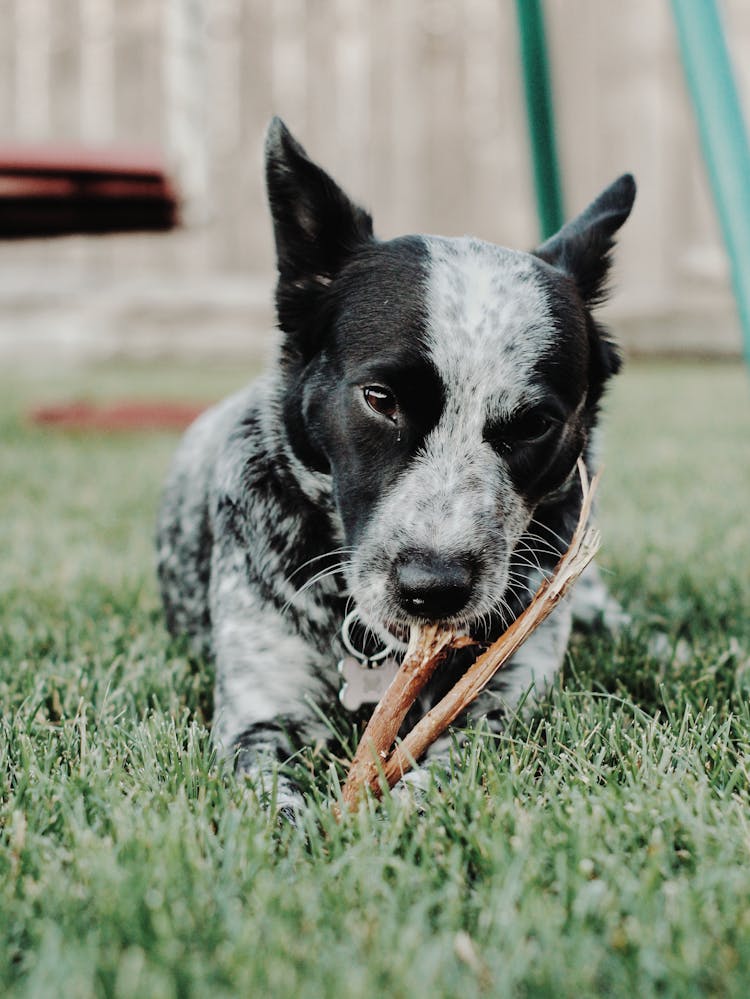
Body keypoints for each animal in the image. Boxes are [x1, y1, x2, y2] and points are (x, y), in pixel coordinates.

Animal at [156, 121, 636, 816]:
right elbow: (276, 804)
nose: (432, 588)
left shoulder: (503, 700)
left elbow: (446, 765)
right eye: (379, 398)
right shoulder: (261, 713)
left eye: (533, 425)